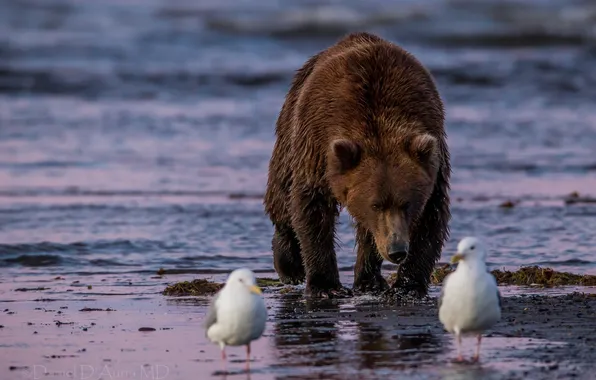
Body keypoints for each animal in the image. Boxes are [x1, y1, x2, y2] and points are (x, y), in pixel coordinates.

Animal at [264, 31, 450, 298]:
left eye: (406, 203)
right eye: (375, 205)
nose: (396, 250)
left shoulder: (433, 156)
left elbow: (431, 216)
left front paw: (408, 286)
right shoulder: (317, 144)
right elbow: (312, 206)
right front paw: (325, 285)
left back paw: (369, 280)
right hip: (290, 126)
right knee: (281, 193)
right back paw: (290, 266)